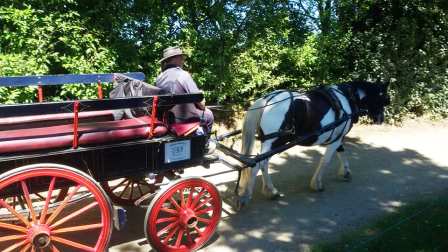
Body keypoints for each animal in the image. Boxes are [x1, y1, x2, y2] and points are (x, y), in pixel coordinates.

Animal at [238, 80, 388, 209]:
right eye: (382, 99)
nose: (380, 119)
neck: (347, 98)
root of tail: (267, 100)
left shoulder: (338, 137)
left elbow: (341, 152)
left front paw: (345, 172)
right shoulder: (336, 138)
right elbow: (326, 160)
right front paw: (317, 184)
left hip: (270, 142)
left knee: (263, 163)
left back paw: (270, 191)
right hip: (274, 141)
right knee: (258, 163)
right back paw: (247, 196)